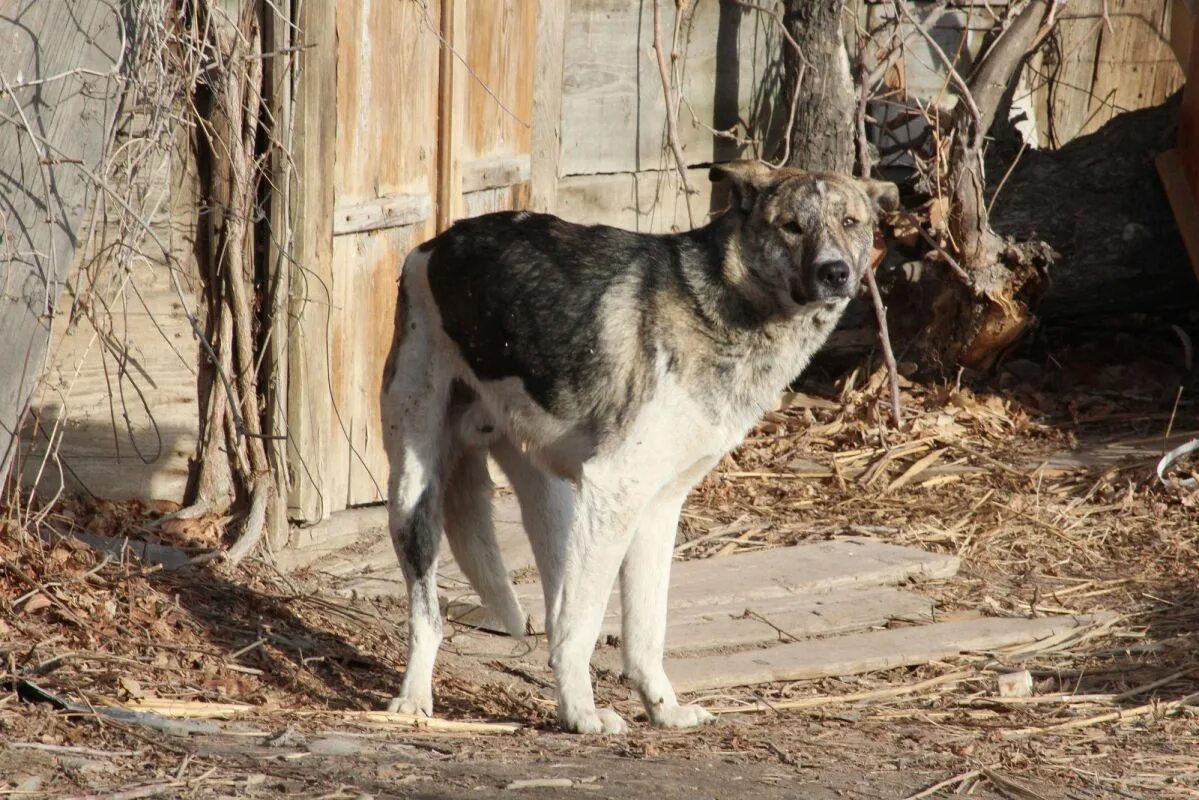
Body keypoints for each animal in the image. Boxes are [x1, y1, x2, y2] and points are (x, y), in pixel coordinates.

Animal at [383, 159, 901, 734]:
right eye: (791, 226)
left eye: (851, 222)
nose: (835, 272)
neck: (726, 304)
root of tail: (435, 244)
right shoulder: (616, 490)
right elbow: (583, 627)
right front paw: (581, 714)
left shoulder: (656, 508)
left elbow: (647, 631)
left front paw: (662, 708)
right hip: (413, 494)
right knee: (431, 615)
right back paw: (414, 699)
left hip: (556, 506)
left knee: (555, 608)